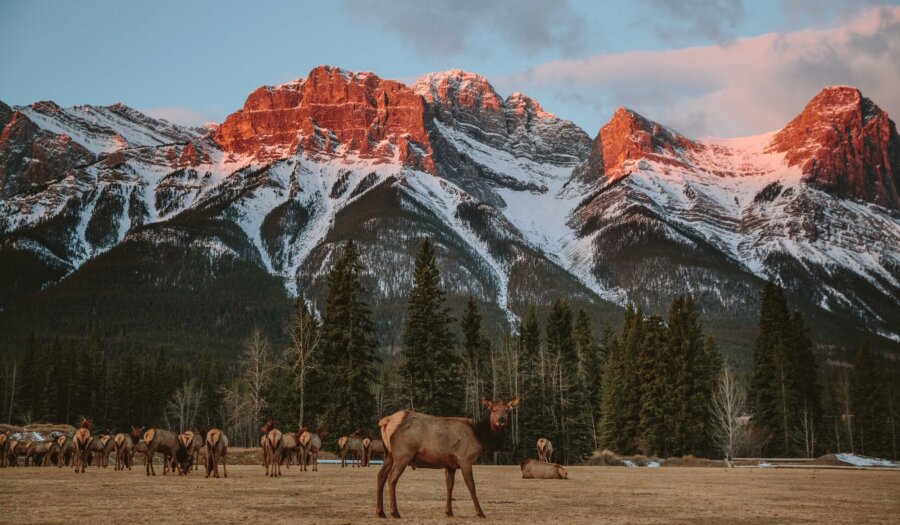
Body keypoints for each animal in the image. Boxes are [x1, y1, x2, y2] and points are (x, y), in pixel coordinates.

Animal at [375, 396, 520, 519]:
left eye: (507, 410)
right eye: (493, 409)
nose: (501, 420)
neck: (480, 438)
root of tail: (386, 421)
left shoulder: (450, 465)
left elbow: (449, 486)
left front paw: (448, 512)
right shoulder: (465, 459)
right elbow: (471, 485)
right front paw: (480, 513)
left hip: (388, 454)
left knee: (381, 475)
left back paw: (380, 512)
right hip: (403, 454)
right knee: (392, 477)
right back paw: (394, 512)